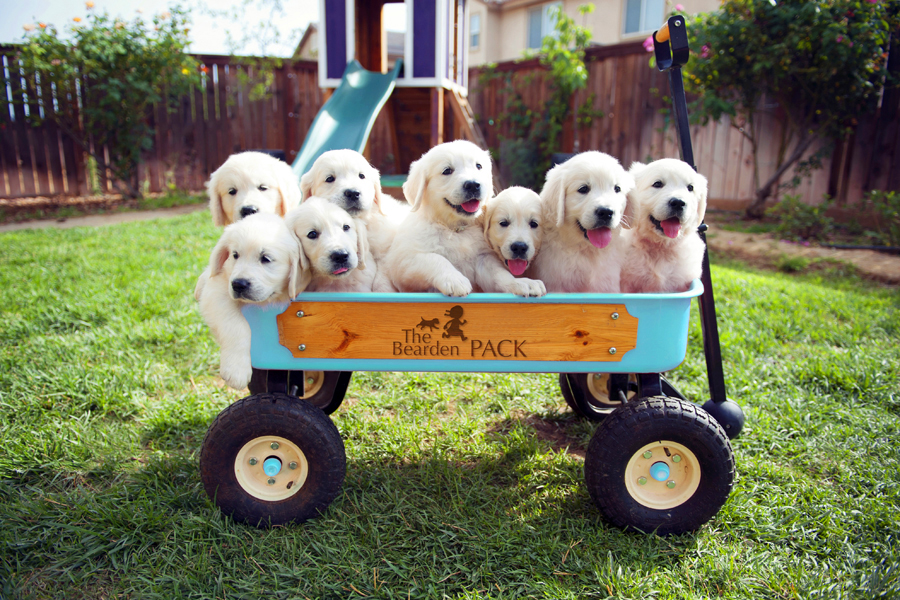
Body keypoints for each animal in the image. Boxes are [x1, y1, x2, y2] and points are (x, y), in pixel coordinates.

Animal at [195, 213, 304, 392]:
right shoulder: (218, 291)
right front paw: (236, 370)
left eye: (266, 259)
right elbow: (237, 325)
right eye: (235, 255)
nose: (238, 284)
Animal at [378, 141, 540, 300]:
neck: (455, 228)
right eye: (447, 171)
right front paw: (454, 279)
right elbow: (434, 258)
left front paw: (520, 282)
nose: (473, 185)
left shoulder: (482, 258)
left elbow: (499, 274)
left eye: (478, 166)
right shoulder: (403, 263)